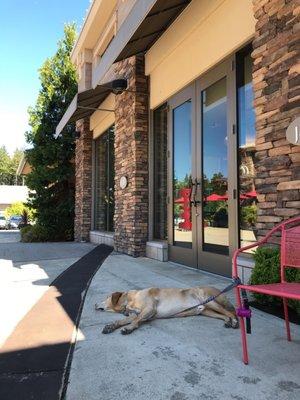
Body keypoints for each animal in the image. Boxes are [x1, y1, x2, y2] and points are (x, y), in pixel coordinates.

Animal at [95, 286, 238, 336]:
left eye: (106, 297)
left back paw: (235, 321)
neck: (130, 300)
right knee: (224, 315)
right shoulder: (134, 314)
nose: (95, 303)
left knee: (231, 312)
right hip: (206, 311)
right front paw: (111, 326)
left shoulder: (149, 309)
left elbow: (136, 320)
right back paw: (227, 322)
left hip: (210, 301)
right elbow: (122, 320)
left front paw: (128, 328)